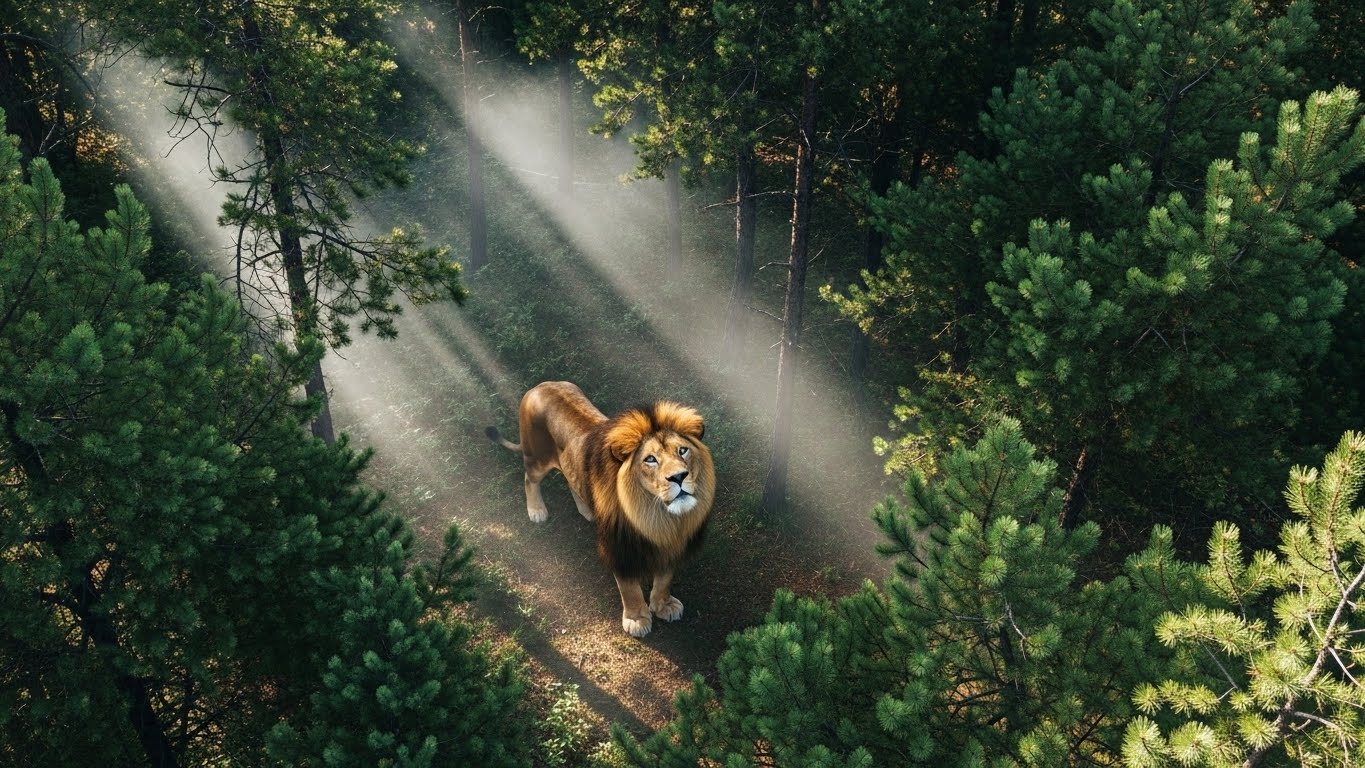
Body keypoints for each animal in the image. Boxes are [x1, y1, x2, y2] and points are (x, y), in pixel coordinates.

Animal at [486, 381, 715, 637]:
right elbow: (629, 588)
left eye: (682, 451)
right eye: (650, 459)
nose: (679, 476)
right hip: (537, 457)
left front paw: (663, 605)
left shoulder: (674, 540)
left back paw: (587, 509)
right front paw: (636, 619)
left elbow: (664, 579)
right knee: (529, 478)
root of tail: (539, 386)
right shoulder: (617, 547)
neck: (656, 513)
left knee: (570, 477)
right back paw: (536, 510)